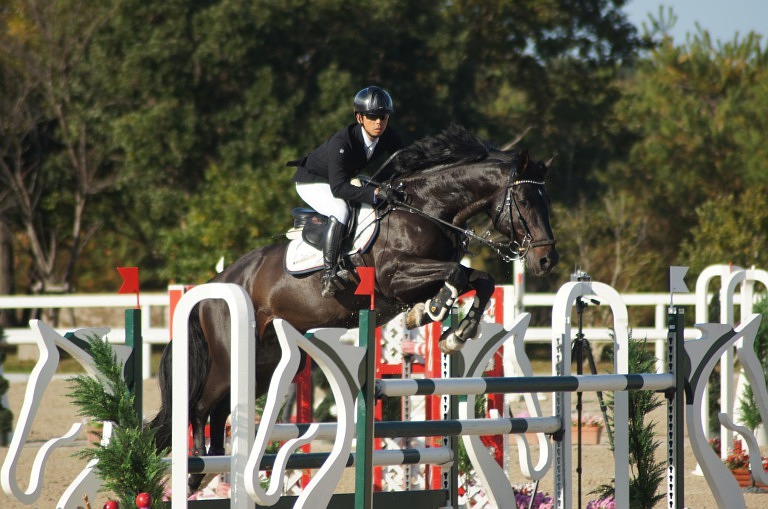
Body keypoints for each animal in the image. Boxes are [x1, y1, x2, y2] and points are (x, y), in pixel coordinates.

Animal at [150, 124, 560, 492]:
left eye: (547, 202)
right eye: (525, 201)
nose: (545, 261)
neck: (427, 209)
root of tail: (217, 283)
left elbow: (481, 280)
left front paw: (454, 332)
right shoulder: (395, 277)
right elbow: (458, 274)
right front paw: (436, 312)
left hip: (261, 363)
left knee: (221, 407)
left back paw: (214, 467)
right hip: (228, 356)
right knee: (200, 405)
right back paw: (197, 472)